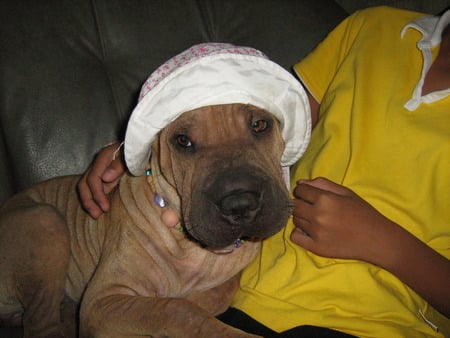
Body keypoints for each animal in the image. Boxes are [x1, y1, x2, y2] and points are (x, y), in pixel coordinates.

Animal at [0, 43, 310, 336]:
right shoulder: (103, 299)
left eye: (260, 124)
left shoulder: (225, 281)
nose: (239, 204)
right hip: (45, 221)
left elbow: (212, 295)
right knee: (40, 322)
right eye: (182, 141)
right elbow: (173, 308)